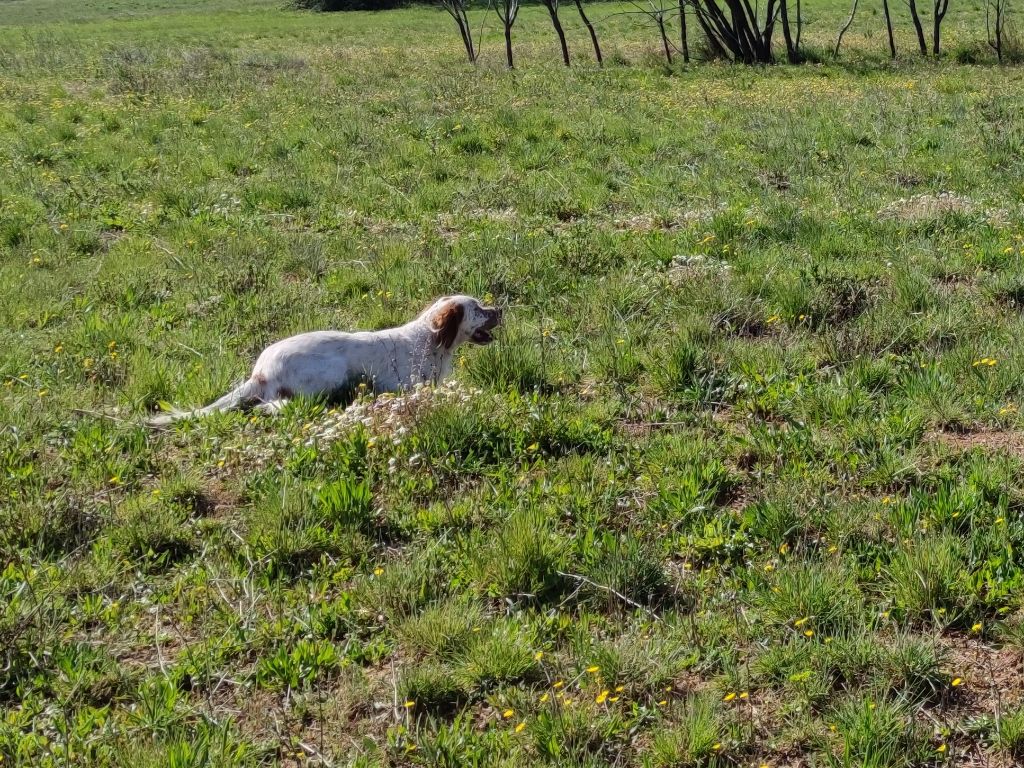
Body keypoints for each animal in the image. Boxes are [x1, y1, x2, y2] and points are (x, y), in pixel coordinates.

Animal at [149, 294, 501, 428]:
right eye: (477, 309)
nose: (499, 310)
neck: (430, 340)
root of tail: (261, 371)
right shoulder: (410, 388)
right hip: (330, 373)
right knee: (274, 405)